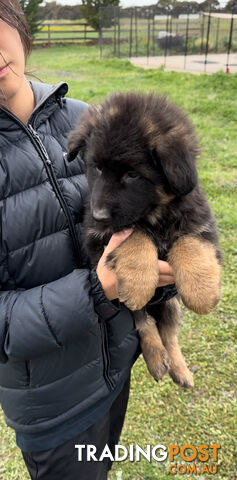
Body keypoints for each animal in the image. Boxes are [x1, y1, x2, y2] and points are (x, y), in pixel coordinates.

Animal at [67, 92, 222, 388]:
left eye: (133, 174)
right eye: (96, 168)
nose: (99, 215)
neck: (154, 215)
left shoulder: (200, 220)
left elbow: (189, 241)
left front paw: (202, 292)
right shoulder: (97, 239)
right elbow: (133, 234)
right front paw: (139, 281)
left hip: (170, 303)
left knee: (169, 333)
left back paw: (179, 369)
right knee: (144, 320)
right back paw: (156, 358)